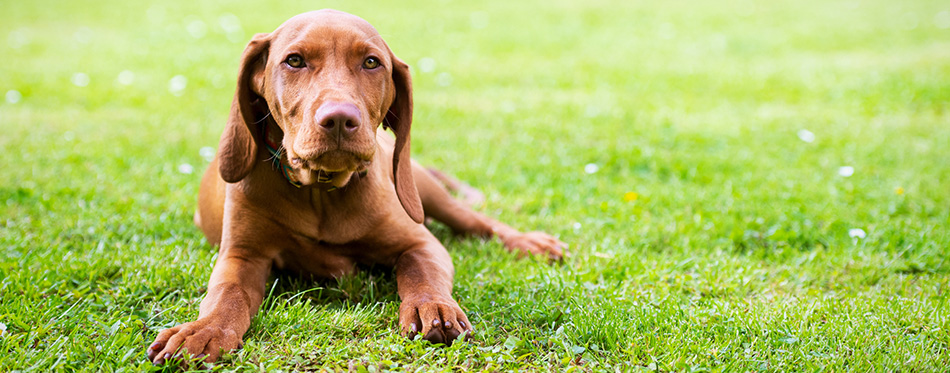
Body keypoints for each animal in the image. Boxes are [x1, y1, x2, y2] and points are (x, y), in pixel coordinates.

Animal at [146, 10, 568, 364]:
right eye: (294, 61)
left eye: (370, 62)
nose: (338, 119)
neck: (320, 192)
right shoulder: (242, 256)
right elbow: (226, 295)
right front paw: (204, 330)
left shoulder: (420, 242)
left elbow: (420, 272)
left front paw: (434, 306)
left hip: (422, 189)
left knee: (477, 222)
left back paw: (529, 242)